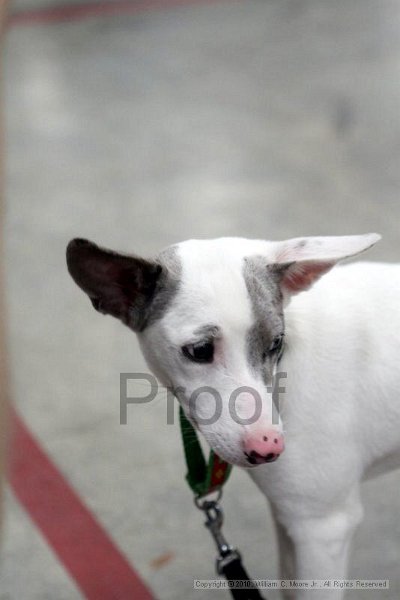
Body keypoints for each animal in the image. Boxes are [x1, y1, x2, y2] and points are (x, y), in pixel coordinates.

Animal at [65, 236, 396, 600]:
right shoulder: (290, 516)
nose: (268, 447)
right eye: (199, 350)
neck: (284, 375)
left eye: (276, 343)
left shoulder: (323, 527)